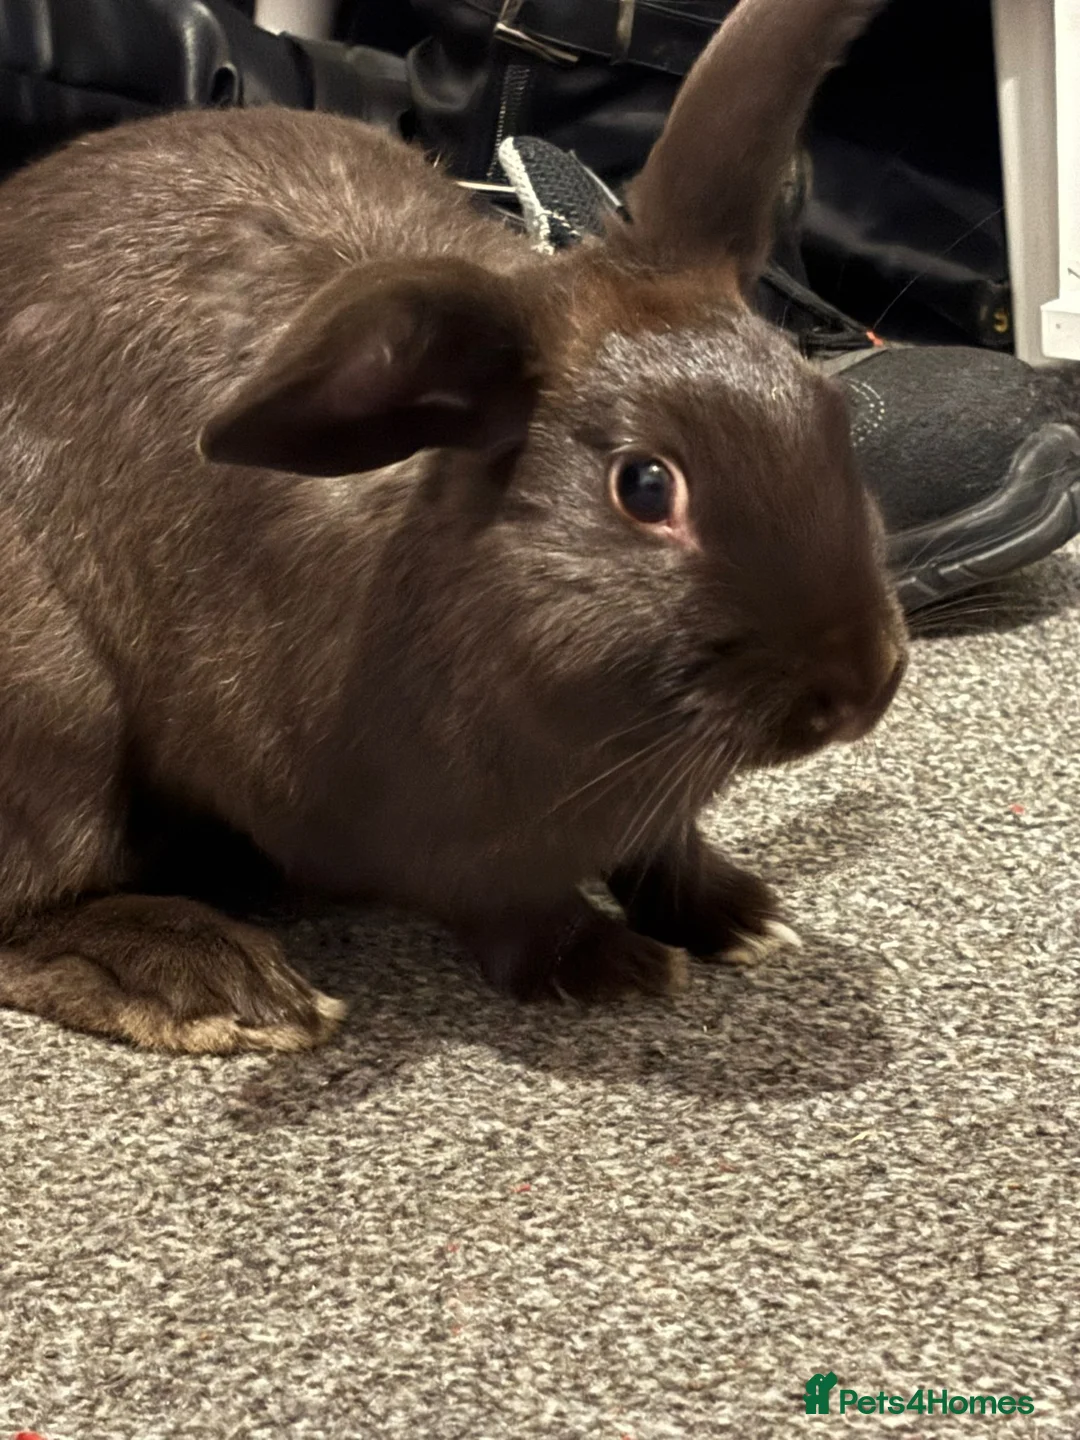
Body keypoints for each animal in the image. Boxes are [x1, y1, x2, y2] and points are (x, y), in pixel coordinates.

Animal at [0, 0, 905, 1053]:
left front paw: (741, 918)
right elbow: (508, 912)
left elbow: (667, 851)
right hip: (56, 714)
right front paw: (609, 965)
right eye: (645, 486)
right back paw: (219, 983)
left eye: (829, 415)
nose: (862, 685)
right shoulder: (424, 846)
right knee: (29, 910)